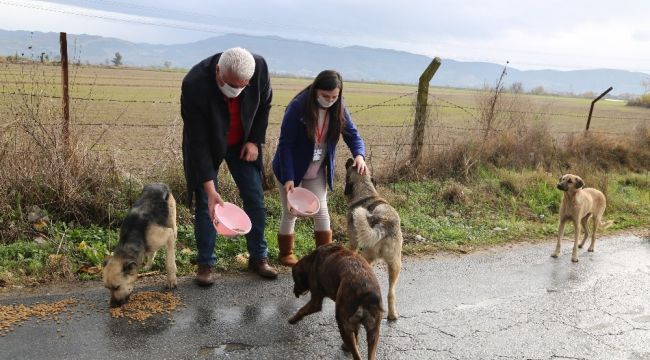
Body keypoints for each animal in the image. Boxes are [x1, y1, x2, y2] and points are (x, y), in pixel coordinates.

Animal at [342, 158, 402, 320]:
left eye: (351, 166)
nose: (351, 159)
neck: (366, 191)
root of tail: (384, 224)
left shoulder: (353, 242)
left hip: (367, 256)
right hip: (395, 265)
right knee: (391, 293)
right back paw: (392, 315)